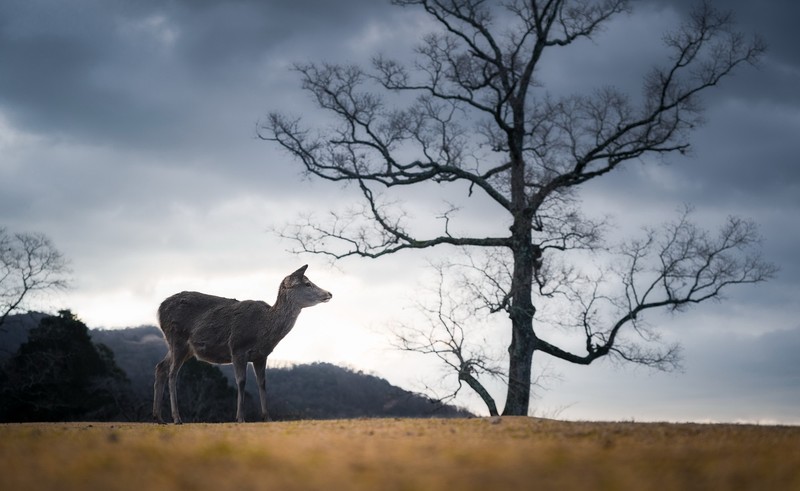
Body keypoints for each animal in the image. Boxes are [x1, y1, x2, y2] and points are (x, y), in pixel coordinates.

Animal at [152, 265, 332, 424]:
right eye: (307, 283)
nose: (329, 293)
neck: (263, 330)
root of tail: (159, 309)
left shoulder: (261, 356)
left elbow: (262, 383)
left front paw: (267, 417)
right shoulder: (237, 348)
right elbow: (241, 381)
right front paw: (240, 417)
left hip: (183, 348)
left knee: (161, 367)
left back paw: (159, 418)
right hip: (177, 338)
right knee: (172, 373)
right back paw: (176, 418)